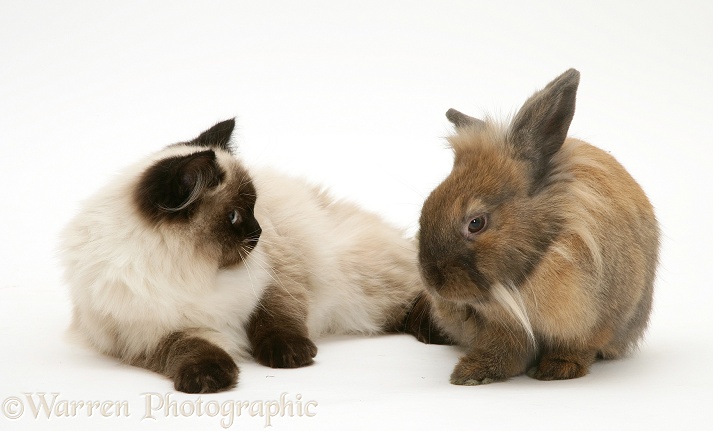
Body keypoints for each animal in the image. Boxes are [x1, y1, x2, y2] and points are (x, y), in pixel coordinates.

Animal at [420, 69, 660, 386]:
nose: (432, 281)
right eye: (428, 202)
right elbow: (503, 350)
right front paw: (471, 373)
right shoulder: (503, 329)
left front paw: (557, 369)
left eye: (476, 222)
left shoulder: (590, 324)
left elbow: (576, 346)